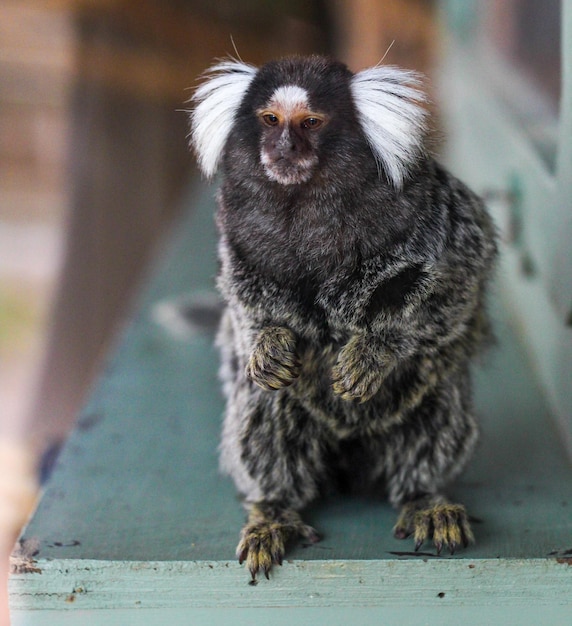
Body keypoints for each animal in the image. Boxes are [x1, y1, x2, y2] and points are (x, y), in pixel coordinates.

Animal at [189, 56, 496, 576]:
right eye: (270, 119)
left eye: (310, 122)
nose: (284, 147)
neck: (303, 207)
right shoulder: (236, 235)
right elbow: (243, 307)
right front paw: (267, 344)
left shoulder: (439, 216)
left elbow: (455, 292)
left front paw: (372, 353)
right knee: (266, 402)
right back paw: (273, 510)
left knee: (436, 398)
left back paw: (425, 498)